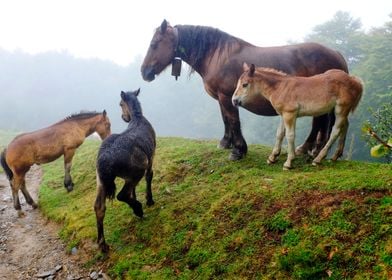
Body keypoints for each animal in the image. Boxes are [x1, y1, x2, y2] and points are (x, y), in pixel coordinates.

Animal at [139, 19, 348, 160]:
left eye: (154, 44)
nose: (144, 72)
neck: (218, 56)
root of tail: (337, 54)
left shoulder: (227, 97)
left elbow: (233, 120)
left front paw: (238, 150)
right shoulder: (222, 98)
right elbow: (225, 119)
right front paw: (225, 143)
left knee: (319, 123)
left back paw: (309, 149)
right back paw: (310, 149)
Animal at [231, 63, 362, 171]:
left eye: (245, 84)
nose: (234, 101)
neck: (281, 88)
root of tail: (354, 80)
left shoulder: (290, 114)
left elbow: (290, 136)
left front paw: (288, 162)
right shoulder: (283, 114)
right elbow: (279, 134)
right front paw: (272, 157)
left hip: (341, 109)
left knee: (336, 131)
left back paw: (318, 159)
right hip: (342, 111)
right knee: (345, 126)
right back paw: (335, 156)